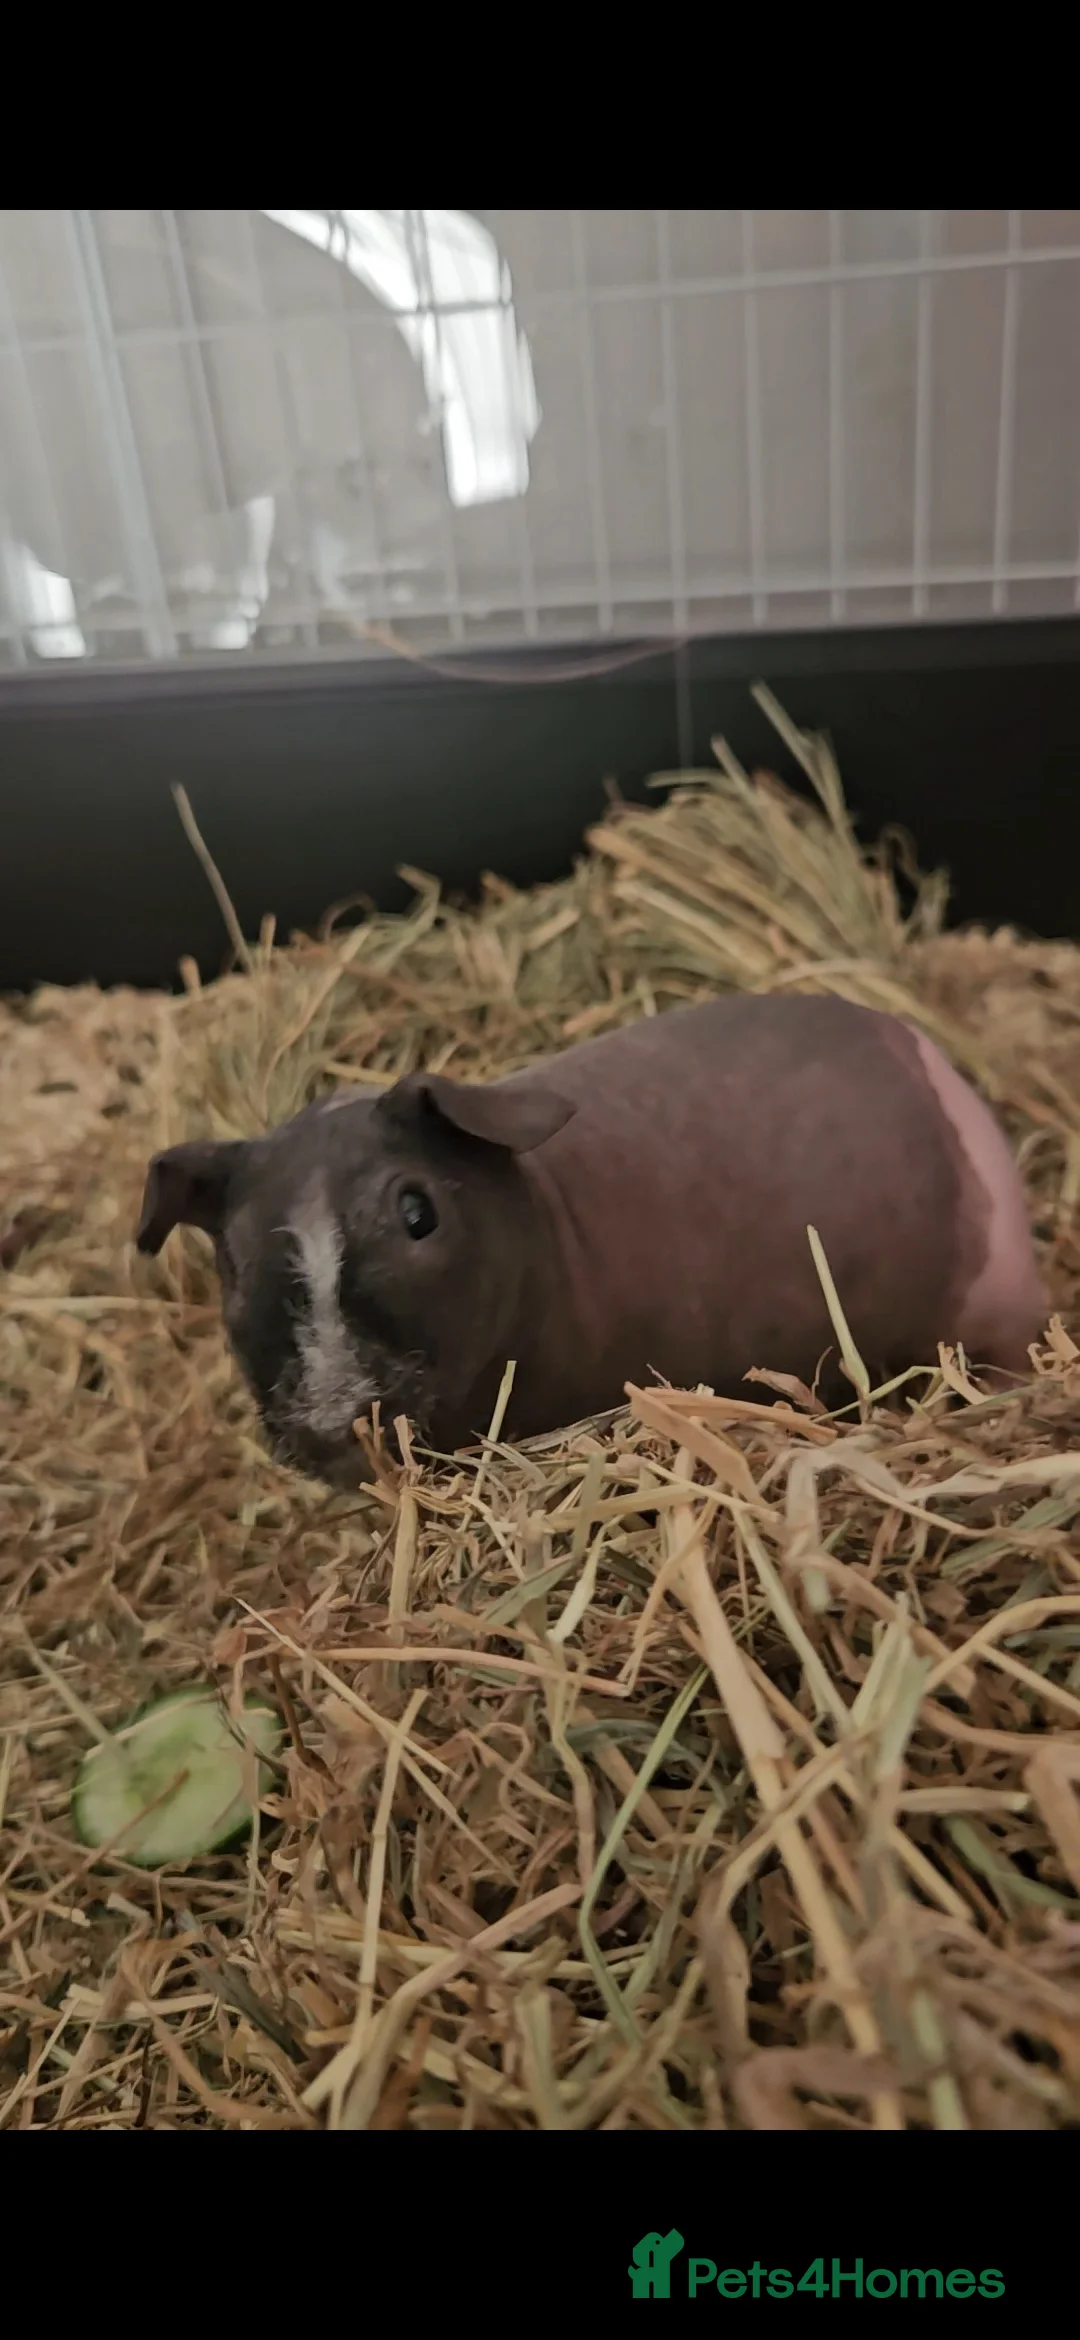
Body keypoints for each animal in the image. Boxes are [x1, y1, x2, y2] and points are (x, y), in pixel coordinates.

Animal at [134, 992, 1048, 1486]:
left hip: (996, 1306)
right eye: (234, 1261)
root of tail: (936, 1061)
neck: (548, 1227)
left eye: (418, 1213)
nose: (333, 1424)